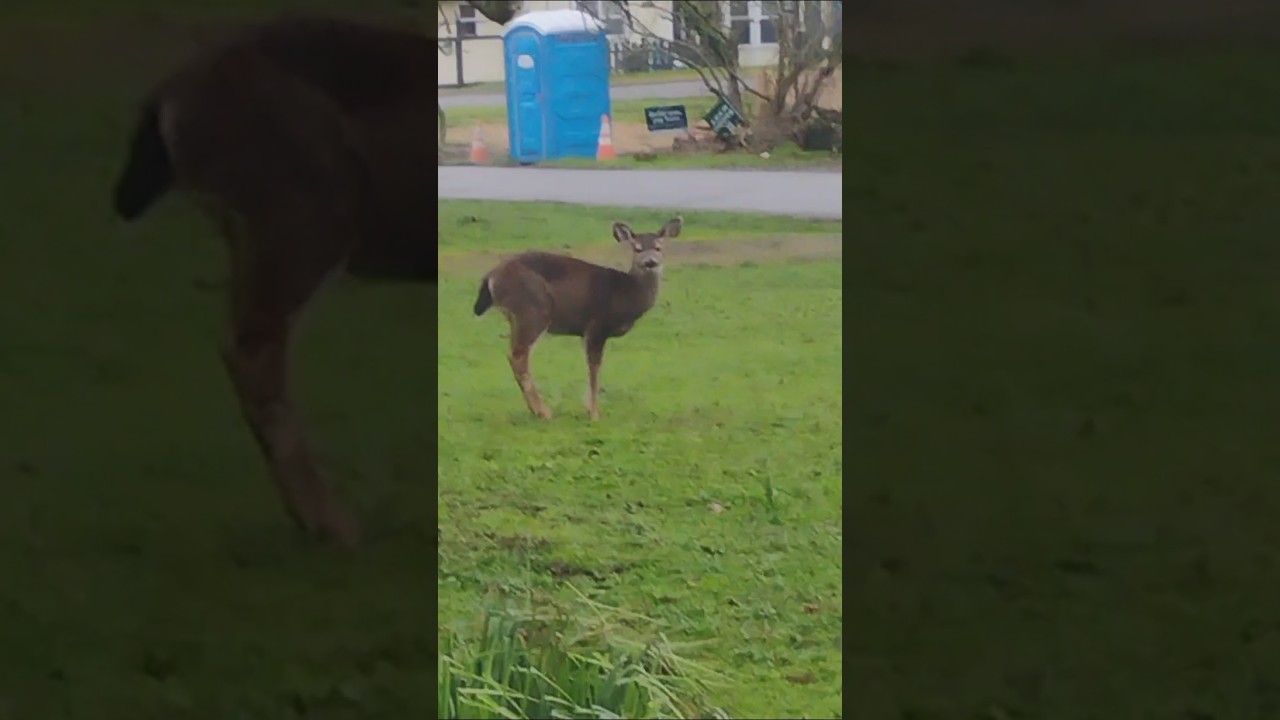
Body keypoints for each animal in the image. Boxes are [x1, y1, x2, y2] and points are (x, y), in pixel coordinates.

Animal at [473, 217, 683, 420]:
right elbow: (594, 368)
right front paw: (594, 414)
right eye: (637, 248)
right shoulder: (597, 325)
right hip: (533, 310)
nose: (650, 262)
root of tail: (491, 277)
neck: (625, 293)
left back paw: (536, 410)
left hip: (517, 317)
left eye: (658, 247)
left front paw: (590, 409)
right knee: (518, 355)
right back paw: (543, 412)